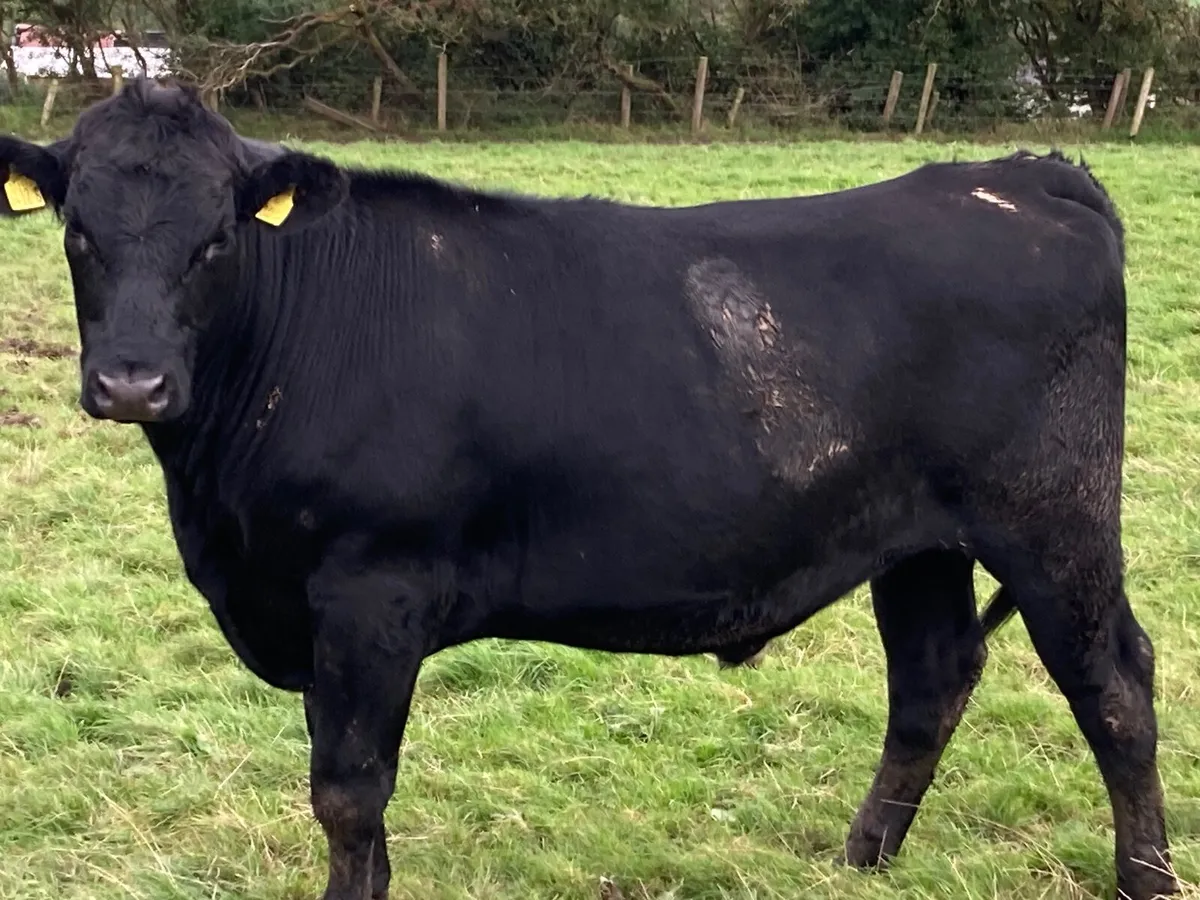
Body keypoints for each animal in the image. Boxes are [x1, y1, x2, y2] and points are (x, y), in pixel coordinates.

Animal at [0, 78, 1177, 900]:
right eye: (77, 232)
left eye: (216, 240)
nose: (132, 382)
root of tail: (1024, 174)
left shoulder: (371, 593)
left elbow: (348, 792)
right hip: (919, 540)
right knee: (930, 679)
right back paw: (862, 857)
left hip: (1054, 519)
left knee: (1115, 686)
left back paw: (1146, 877)